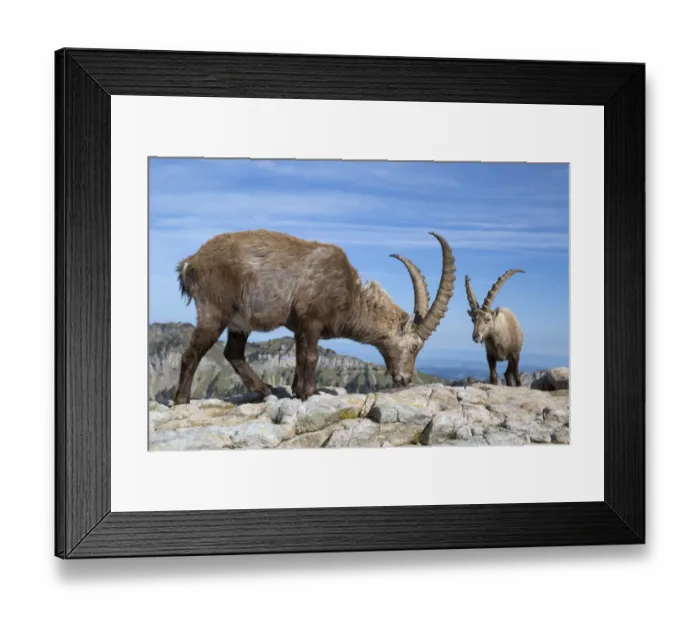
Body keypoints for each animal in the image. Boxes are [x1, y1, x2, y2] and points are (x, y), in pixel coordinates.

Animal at [172, 229, 456, 404]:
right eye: (415, 346)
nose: (405, 378)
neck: (349, 295)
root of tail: (190, 263)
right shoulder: (311, 321)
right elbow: (311, 356)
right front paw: (311, 392)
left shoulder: (300, 328)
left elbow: (300, 357)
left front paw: (298, 391)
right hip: (214, 311)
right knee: (191, 353)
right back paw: (182, 400)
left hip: (240, 321)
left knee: (233, 352)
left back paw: (264, 389)